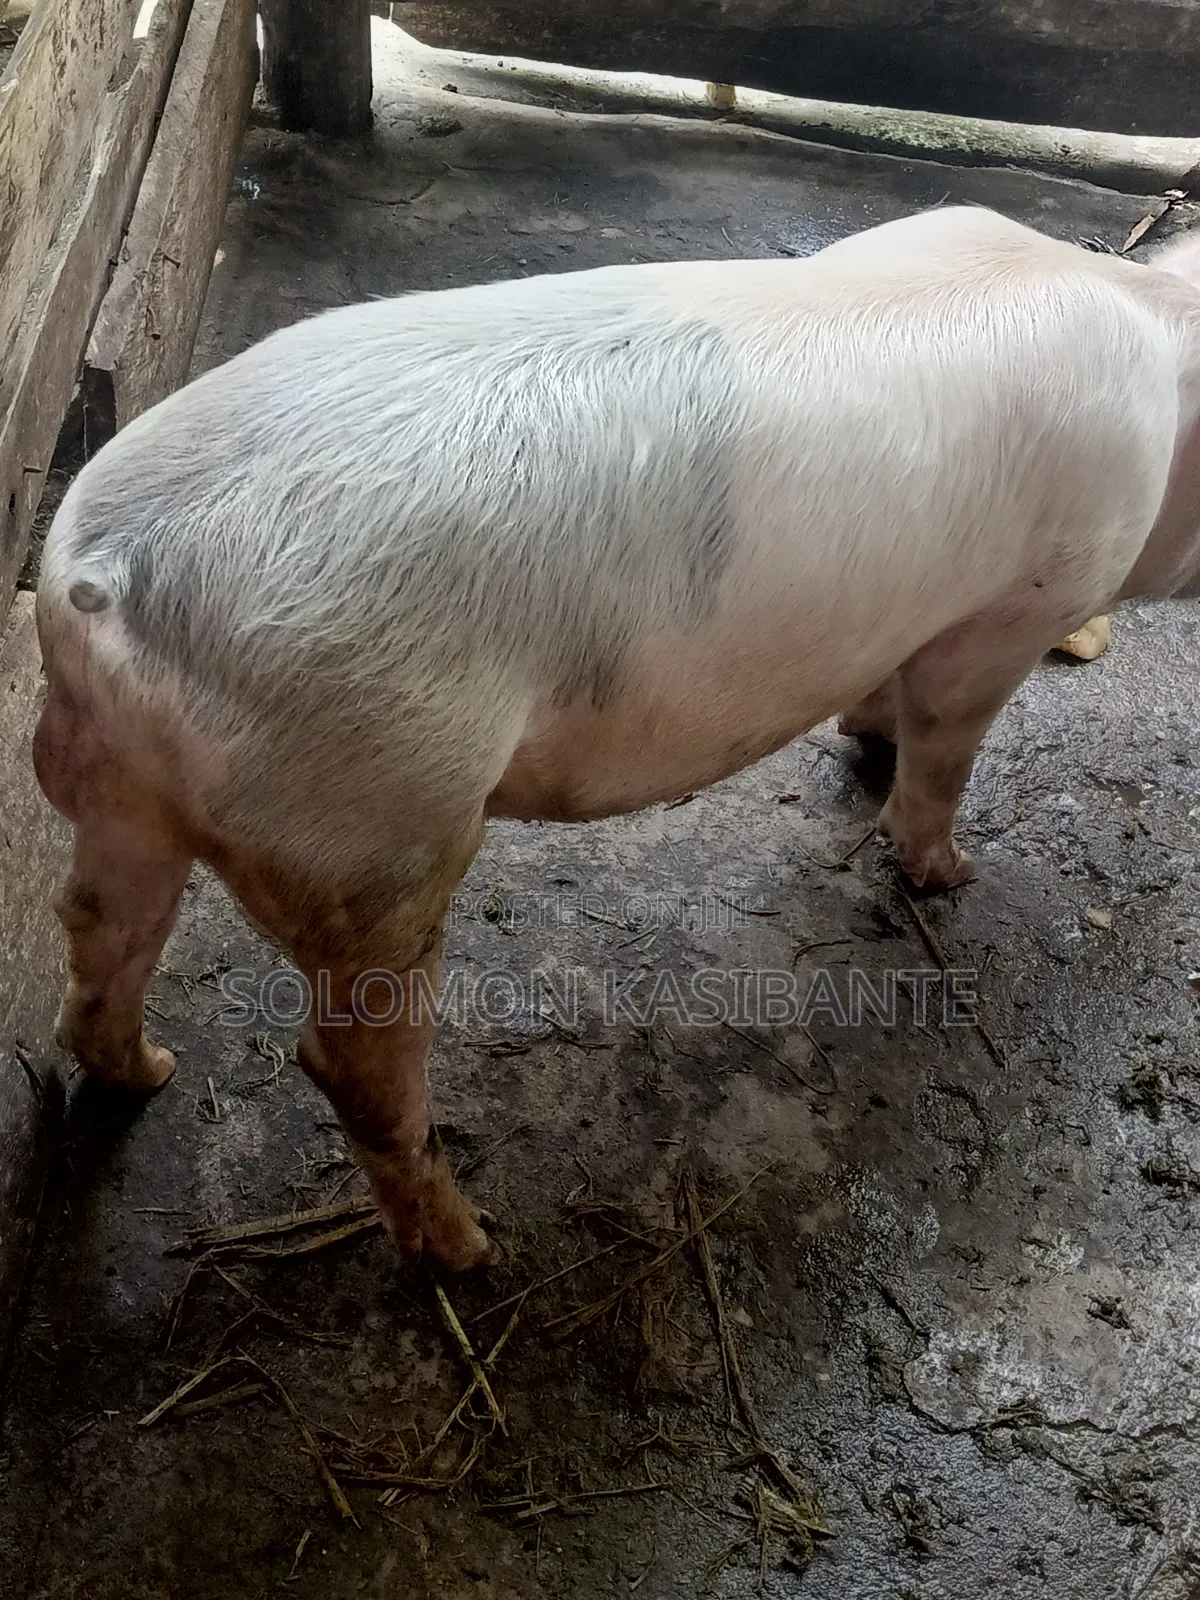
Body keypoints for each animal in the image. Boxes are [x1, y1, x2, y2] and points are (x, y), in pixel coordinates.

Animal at [32, 206, 1200, 1271]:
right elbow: (946, 745)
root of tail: (101, 575)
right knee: (350, 1059)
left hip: (129, 785)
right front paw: (951, 874)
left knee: (99, 926)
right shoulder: (1019, 608)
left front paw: (869, 742)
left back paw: (152, 1071)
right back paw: (472, 1250)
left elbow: (883, 693)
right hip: (373, 812)